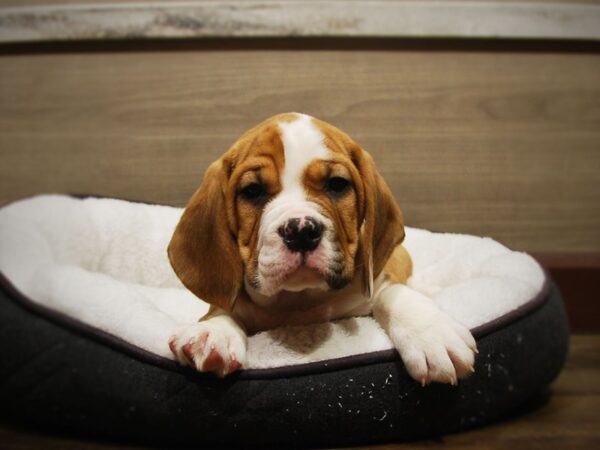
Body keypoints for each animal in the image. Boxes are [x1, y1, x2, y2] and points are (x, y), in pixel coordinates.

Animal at [166, 112, 476, 384]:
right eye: (252, 191)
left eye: (337, 184)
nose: (301, 231)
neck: (301, 300)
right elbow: (220, 307)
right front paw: (212, 331)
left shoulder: (375, 284)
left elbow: (396, 294)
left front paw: (433, 333)